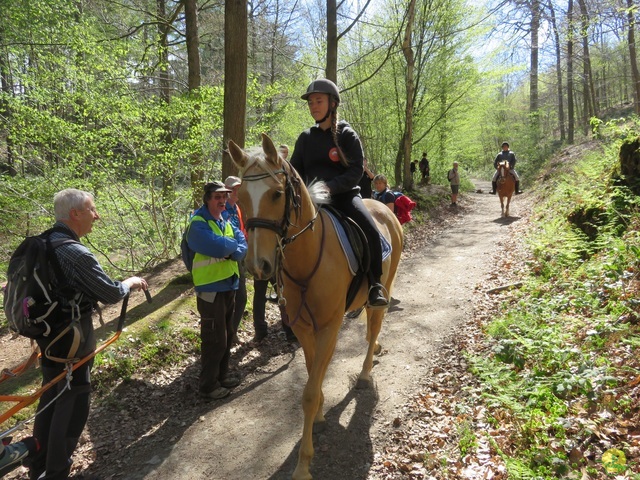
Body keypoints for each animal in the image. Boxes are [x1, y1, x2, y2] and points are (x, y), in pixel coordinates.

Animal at [228, 134, 402, 480]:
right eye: (239, 198)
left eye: (276, 193)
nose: (257, 265)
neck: (307, 259)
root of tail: (382, 206)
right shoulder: (303, 329)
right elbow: (313, 374)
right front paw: (321, 412)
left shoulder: (329, 328)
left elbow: (308, 392)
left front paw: (303, 465)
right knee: (369, 329)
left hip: (385, 288)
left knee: (375, 324)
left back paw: (365, 372)